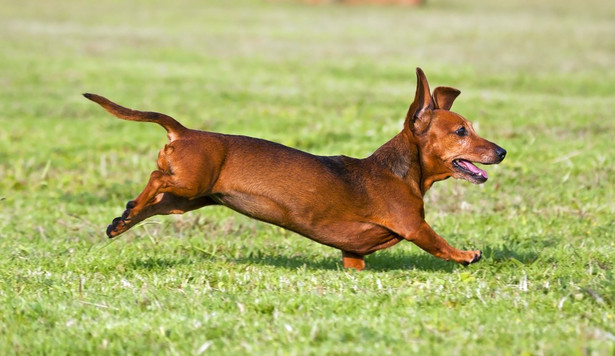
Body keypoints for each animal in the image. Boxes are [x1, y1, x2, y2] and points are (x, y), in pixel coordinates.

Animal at [85, 67, 506, 270]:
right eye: (461, 132)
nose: (501, 152)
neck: (399, 170)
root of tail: (185, 132)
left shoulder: (353, 256)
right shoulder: (414, 226)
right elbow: (438, 244)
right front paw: (466, 254)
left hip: (186, 199)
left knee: (152, 203)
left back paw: (122, 220)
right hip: (189, 183)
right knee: (155, 178)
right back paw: (127, 213)